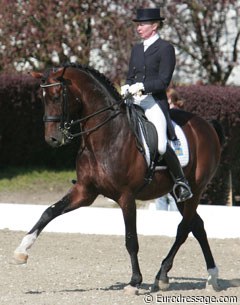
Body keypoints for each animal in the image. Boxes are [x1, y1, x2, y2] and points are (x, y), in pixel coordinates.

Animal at [14, 63, 222, 294]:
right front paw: (22, 250)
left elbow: (131, 239)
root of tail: (206, 124)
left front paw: (134, 281)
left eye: (58, 96)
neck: (106, 136)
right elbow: (49, 212)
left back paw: (162, 275)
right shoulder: (85, 191)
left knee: (183, 229)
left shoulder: (126, 196)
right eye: (42, 98)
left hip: (195, 189)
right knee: (198, 226)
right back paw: (210, 276)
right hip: (178, 196)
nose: (52, 139)